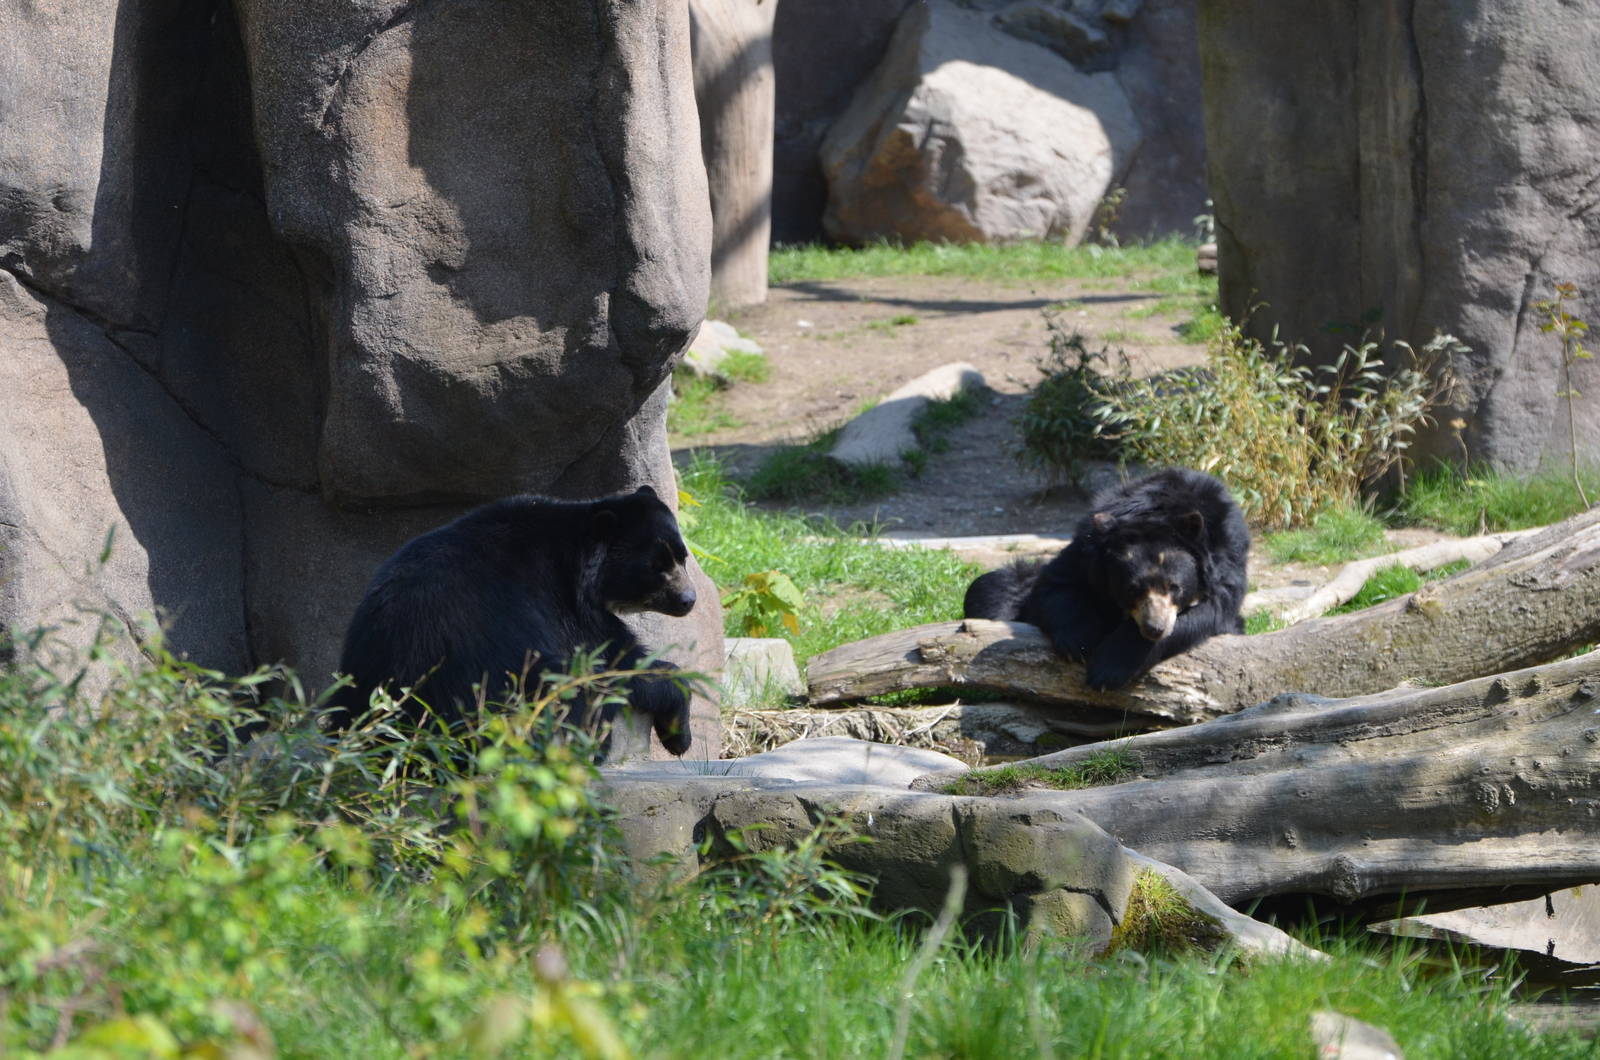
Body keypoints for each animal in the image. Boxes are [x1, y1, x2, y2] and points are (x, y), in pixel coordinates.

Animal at [326, 484, 697, 756]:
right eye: (656, 567)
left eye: (682, 557)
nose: (689, 600)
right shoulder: (562, 602)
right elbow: (615, 658)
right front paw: (679, 735)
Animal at [963, 468, 1249, 691]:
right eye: (1132, 588)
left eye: (1175, 587)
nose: (1155, 628)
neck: (1158, 518)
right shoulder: (1087, 549)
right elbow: (1057, 583)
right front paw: (1078, 644)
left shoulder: (1226, 560)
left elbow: (1211, 611)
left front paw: (1108, 669)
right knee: (992, 589)